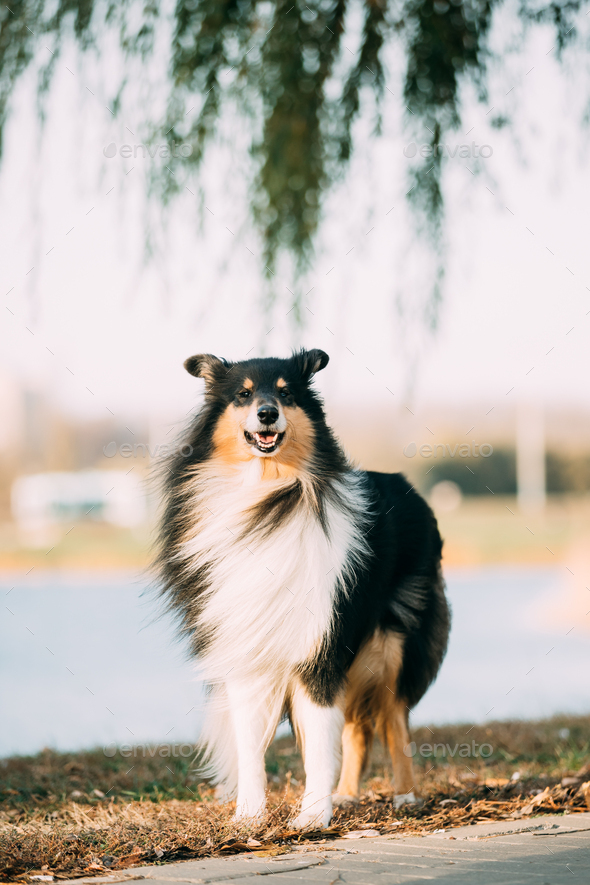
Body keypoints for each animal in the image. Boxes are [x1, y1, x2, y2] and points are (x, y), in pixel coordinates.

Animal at [155, 348, 450, 828]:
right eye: (243, 395)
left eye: (287, 393)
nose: (267, 414)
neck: (267, 495)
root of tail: (408, 485)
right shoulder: (248, 650)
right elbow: (252, 744)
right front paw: (249, 816)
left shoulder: (319, 645)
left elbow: (319, 739)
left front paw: (312, 816)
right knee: (358, 727)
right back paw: (347, 795)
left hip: (392, 643)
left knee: (392, 719)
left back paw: (406, 795)